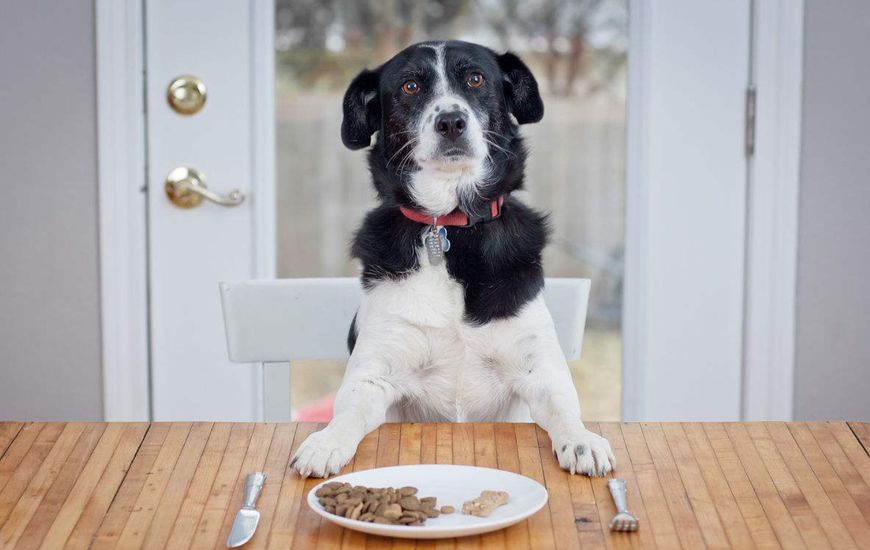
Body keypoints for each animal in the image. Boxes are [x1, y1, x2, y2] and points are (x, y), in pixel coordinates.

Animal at [290, 40, 616, 478]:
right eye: (410, 86)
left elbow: (564, 409)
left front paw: (582, 441)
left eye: (476, 79)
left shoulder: (542, 371)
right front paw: (326, 441)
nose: (451, 122)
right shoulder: (374, 375)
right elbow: (348, 412)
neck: (449, 226)